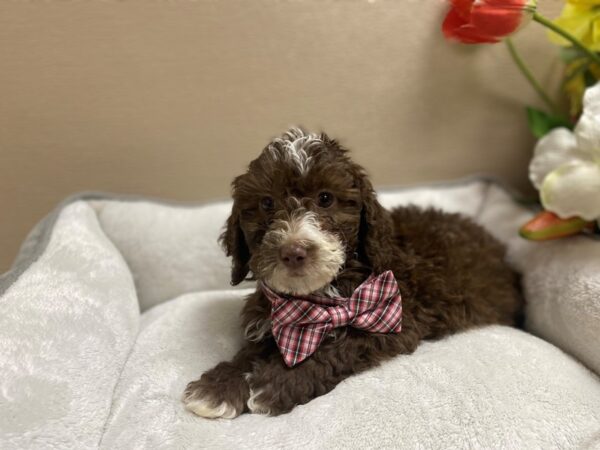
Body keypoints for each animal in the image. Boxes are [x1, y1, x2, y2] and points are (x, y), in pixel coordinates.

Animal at [182, 127, 520, 418]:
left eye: (325, 198)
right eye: (266, 203)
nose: (293, 252)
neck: (316, 298)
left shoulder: (395, 319)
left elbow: (342, 346)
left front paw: (273, 385)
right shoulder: (273, 320)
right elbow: (250, 351)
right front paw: (218, 387)